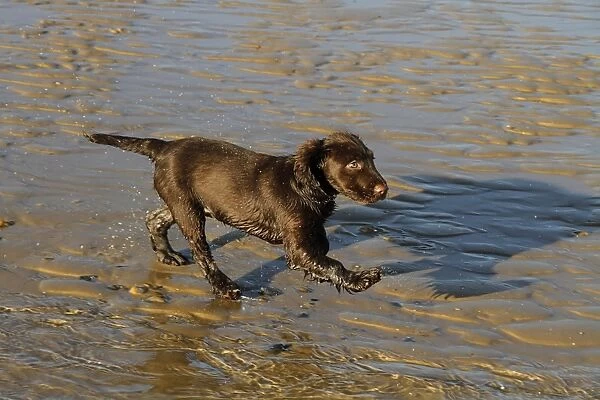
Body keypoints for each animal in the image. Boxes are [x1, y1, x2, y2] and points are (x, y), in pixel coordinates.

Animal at [86, 132, 390, 300]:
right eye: (354, 164)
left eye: (372, 159)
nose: (384, 189)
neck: (305, 184)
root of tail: (164, 147)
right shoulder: (297, 248)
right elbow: (331, 264)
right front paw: (360, 279)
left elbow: (323, 254)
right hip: (188, 210)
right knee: (202, 252)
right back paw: (224, 287)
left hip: (189, 203)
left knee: (155, 219)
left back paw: (167, 255)